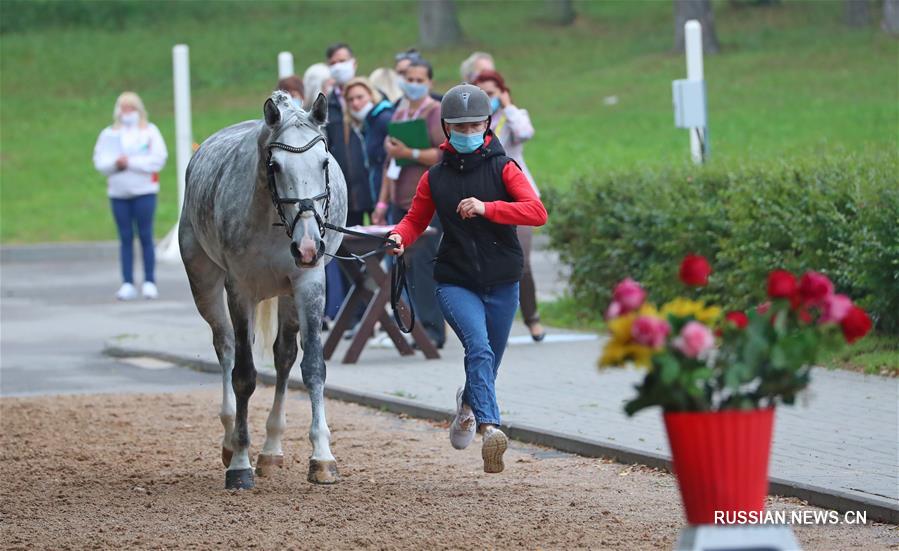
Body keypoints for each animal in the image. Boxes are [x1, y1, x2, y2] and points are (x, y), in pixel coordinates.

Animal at [179, 91, 348, 492]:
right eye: (275, 165)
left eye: (324, 162)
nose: (308, 247)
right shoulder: (239, 289)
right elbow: (244, 375)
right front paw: (240, 463)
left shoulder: (309, 284)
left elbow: (313, 367)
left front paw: (322, 457)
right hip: (205, 283)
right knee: (225, 347)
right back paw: (230, 440)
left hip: (286, 295)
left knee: (284, 356)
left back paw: (271, 449)